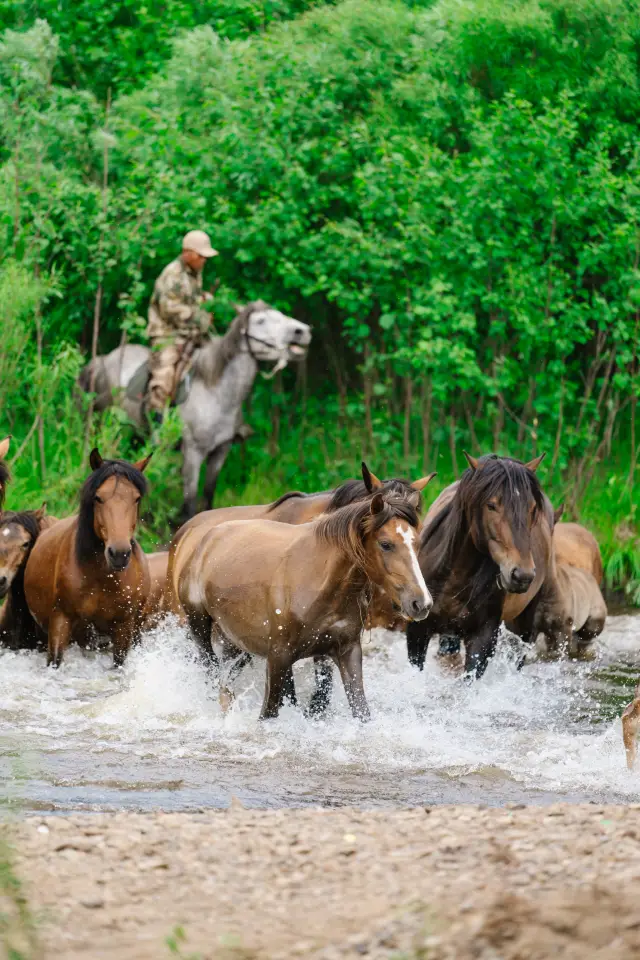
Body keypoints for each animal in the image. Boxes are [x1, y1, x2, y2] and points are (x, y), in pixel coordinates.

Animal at [22, 450, 154, 668]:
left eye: (136, 498)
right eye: (98, 498)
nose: (119, 554)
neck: (101, 578)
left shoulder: (124, 629)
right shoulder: (60, 621)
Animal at [77, 302, 312, 520]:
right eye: (261, 321)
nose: (302, 331)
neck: (216, 393)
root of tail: (102, 360)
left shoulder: (221, 450)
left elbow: (207, 496)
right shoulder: (193, 452)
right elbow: (189, 503)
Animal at [172, 496, 430, 720]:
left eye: (417, 543)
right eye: (386, 544)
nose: (421, 603)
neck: (319, 581)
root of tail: (207, 538)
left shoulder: (347, 651)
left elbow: (361, 711)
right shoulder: (278, 657)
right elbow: (268, 714)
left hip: (236, 642)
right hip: (199, 627)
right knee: (211, 673)